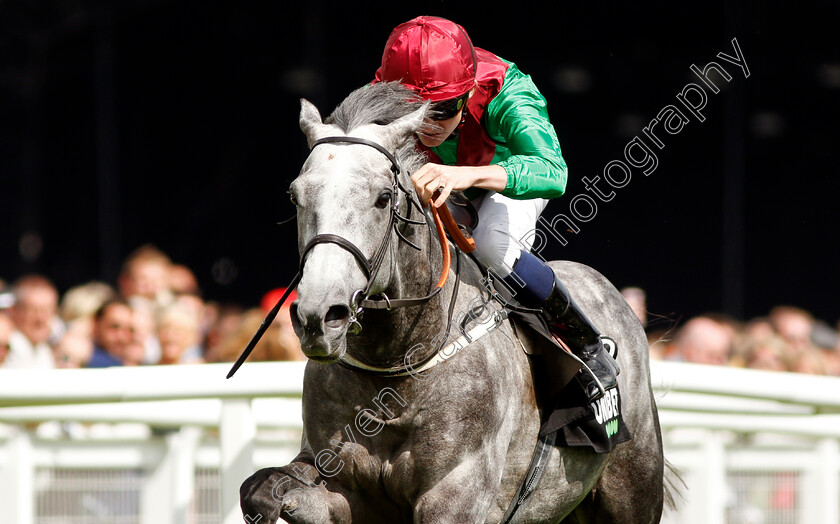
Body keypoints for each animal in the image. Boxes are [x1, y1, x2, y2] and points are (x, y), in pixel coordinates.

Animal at [240, 82, 668, 520]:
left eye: (382, 198)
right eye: (295, 196)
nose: (320, 317)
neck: (398, 362)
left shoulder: (455, 493)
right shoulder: (338, 484)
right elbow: (259, 487)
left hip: (632, 488)